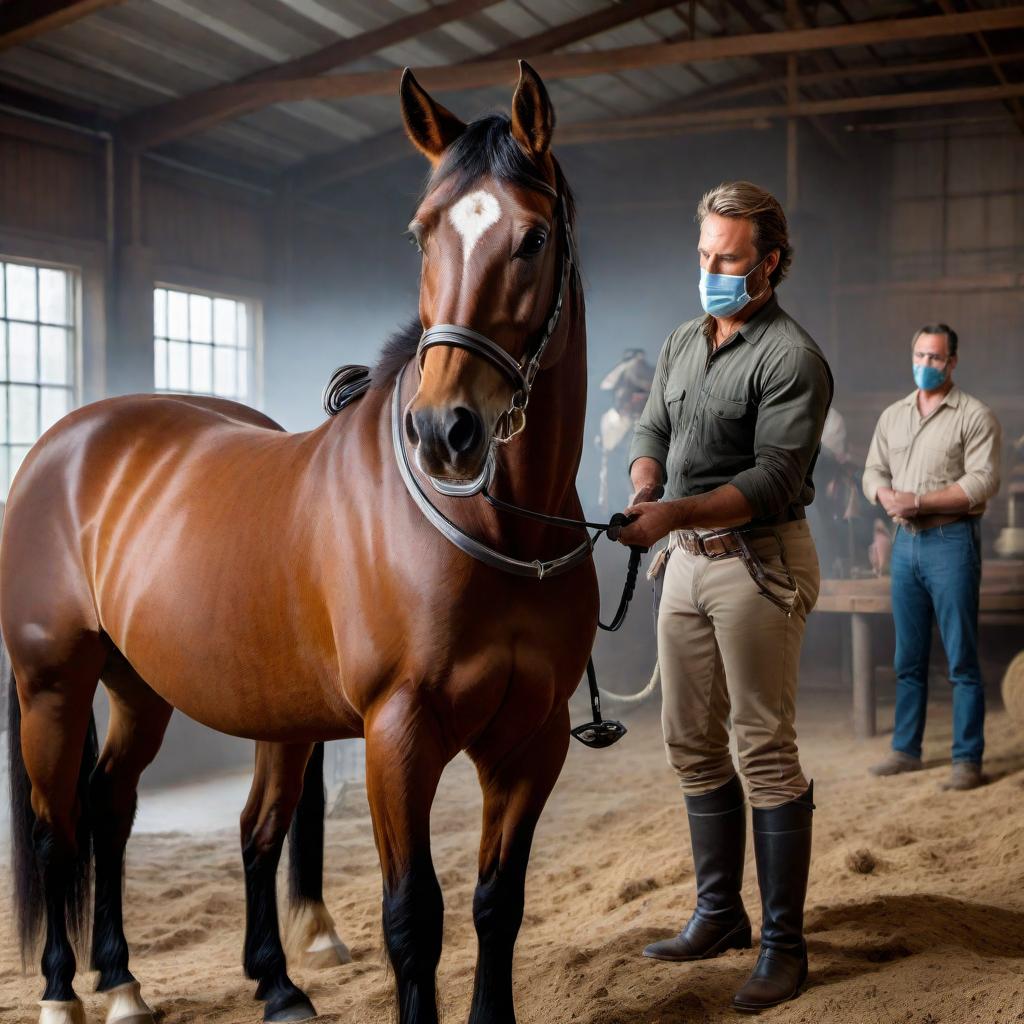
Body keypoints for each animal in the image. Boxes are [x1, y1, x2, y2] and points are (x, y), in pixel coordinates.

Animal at [4, 61, 598, 1024]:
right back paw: (64, 991)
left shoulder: (532, 742)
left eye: (535, 237)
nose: (445, 432)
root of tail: (64, 442)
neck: (494, 527)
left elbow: (496, 904)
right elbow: (414, 918)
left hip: (144, 689)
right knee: (62, 832)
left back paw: (154, 979)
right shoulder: (400, 733)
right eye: (422, 234)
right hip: (53, 686)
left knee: (124, 810)